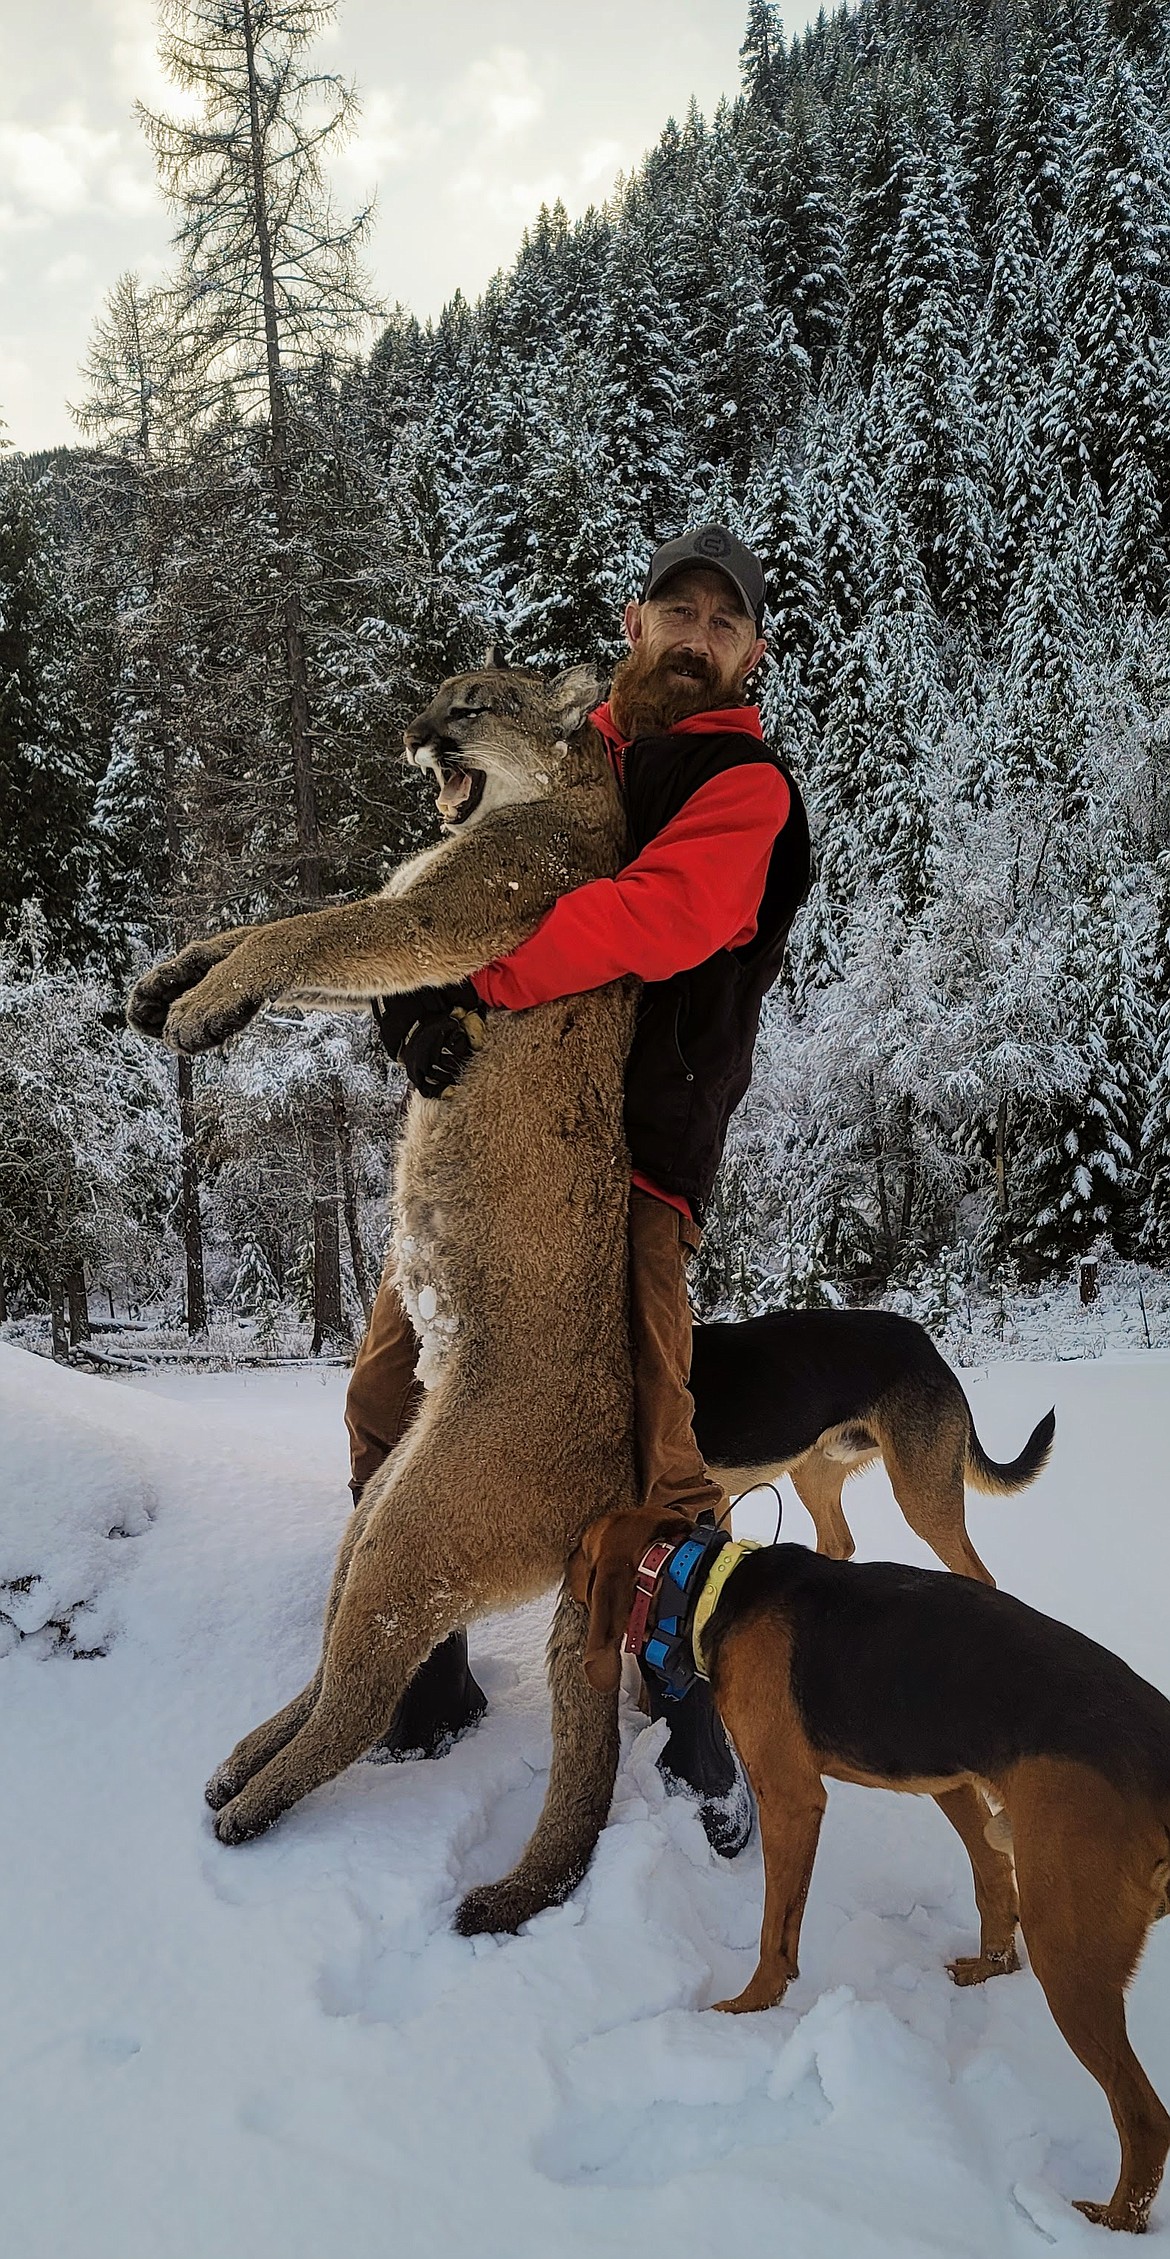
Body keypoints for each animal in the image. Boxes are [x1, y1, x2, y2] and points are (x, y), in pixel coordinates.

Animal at [571, 1509, 1170, 2231]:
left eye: (579, 1550)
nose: (559, 1574)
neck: (712, 1584)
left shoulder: (792, 1798)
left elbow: (775, 1931)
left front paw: (746, 2010)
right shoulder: (950, 1778)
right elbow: (991, 1879)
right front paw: (992, 1960)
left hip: (1070, 1952)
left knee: (1146, 2118)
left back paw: (1108, 2221)